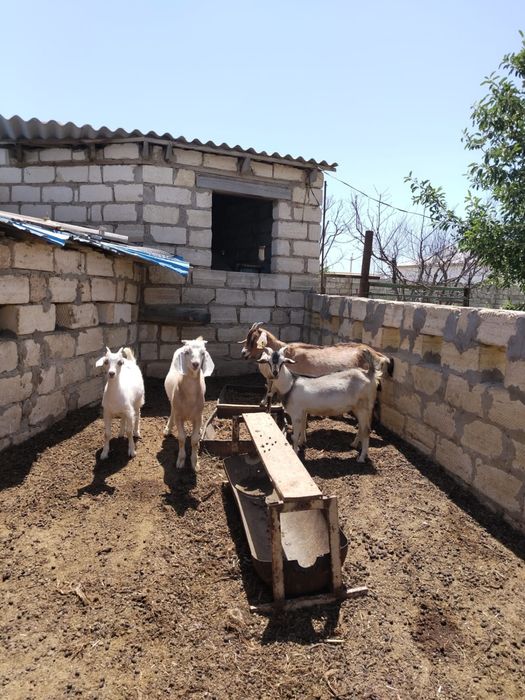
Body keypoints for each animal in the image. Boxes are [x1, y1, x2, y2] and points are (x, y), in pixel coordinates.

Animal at [164, 337, 215, 469]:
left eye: (203, 353)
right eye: (187, 352)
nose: (195, 364)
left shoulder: (197, 416)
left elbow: (194, 440)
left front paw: (194, 462)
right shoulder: (179, 416)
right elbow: (181, 438)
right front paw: (181, 460)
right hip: (172, 400)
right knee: (172, 410)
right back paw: (168, 428)